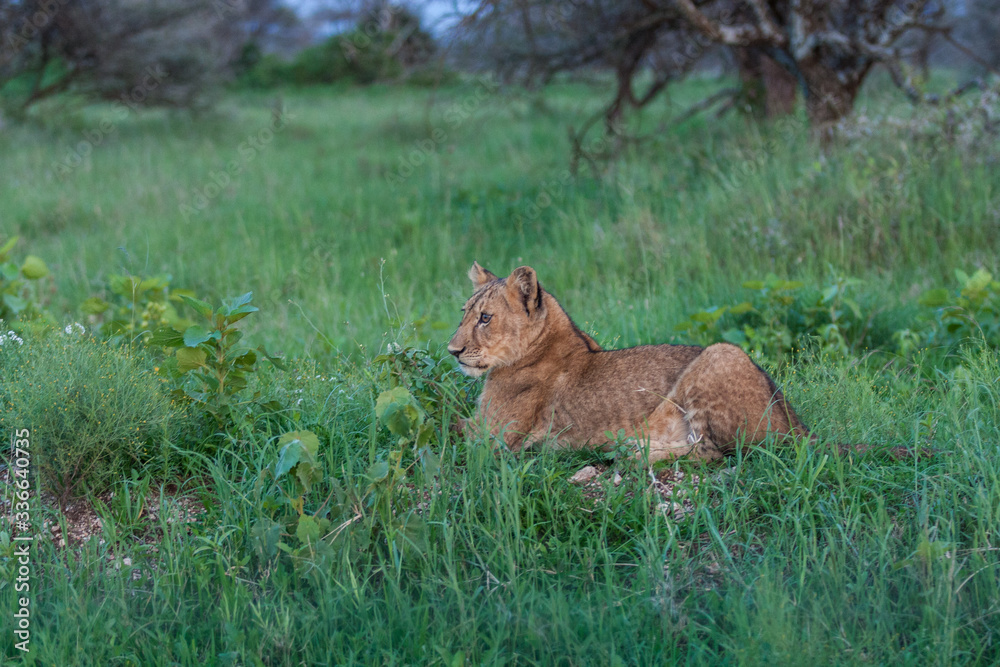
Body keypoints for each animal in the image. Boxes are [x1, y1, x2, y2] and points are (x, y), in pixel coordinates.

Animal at [448, 262, 891, 463]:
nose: (452, 351)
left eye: (485, 318)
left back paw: (631, 451)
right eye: (464, 313)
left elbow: (448, 428)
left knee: (717, 452)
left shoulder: (493, 437)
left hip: (719, 354)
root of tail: (798, 426)